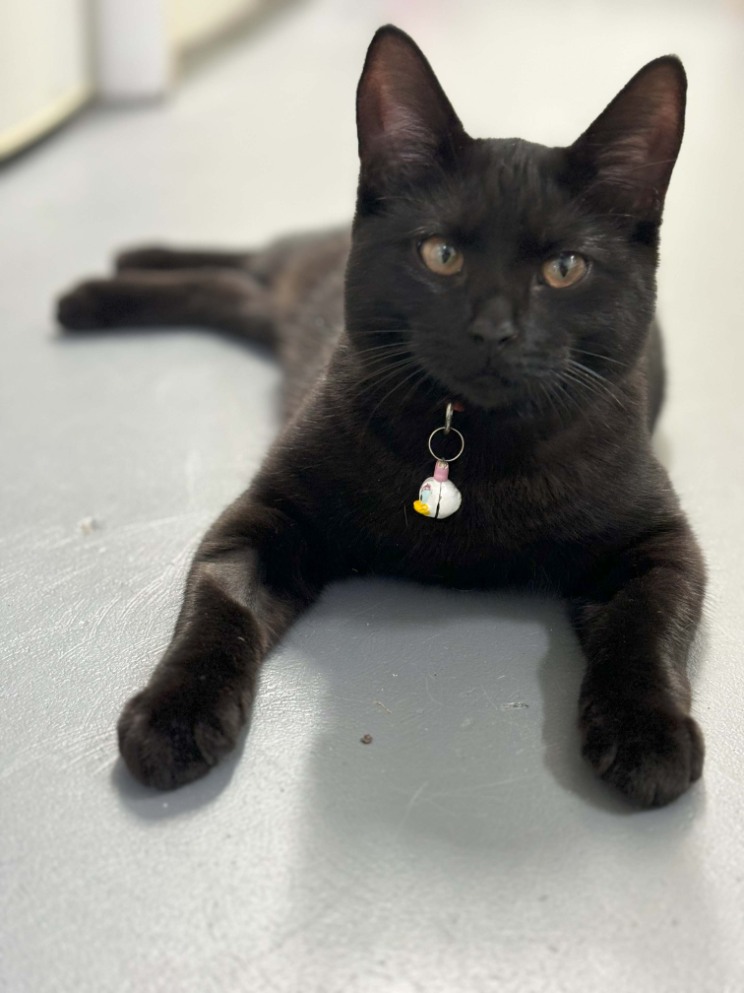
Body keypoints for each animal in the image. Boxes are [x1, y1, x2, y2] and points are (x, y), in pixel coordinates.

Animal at [58, 25, 704, 808]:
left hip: (272, 309)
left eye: (565, 268)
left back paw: (112, 277)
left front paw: (649, 732)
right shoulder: (267, 512)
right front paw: (174, 713)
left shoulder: (659, 538)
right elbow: (219, 606)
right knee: (248, 259)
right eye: (441, 253)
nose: (493, 330)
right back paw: (112, 275)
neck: (472, 445)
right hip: (291, 275)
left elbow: (649, 625)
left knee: (231, 288)